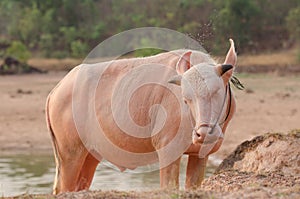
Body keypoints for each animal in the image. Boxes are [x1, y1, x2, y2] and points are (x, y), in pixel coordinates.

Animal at [45, 39, 237, 194]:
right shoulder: (168, 152)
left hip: (90, 155)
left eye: (216, 91)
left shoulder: (200, 155)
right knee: (63, 188)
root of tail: (57, 90)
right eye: (186, 99)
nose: (203, 134)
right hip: (69, 153)